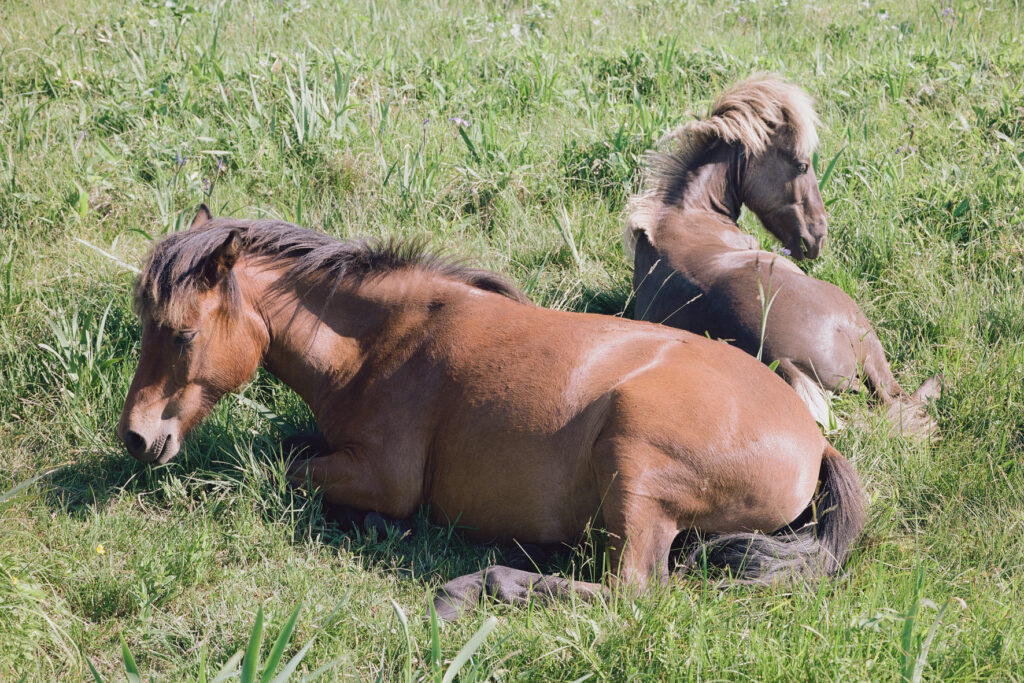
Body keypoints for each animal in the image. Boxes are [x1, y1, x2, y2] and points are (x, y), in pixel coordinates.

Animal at [116, 206, 860, 618]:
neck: (386, 342)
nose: (135, 437)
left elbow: (272, 473)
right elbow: (287, 450)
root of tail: (814, 440)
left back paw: (477, 586)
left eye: (181, 334)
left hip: (634, 464)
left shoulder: (383, 476)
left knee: (629, 591)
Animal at [618, 74, 937, 438]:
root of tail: (782, 359)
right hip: (868, 342)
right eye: (802, 164)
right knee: (897, 398)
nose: (817, 237)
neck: (685, 214)